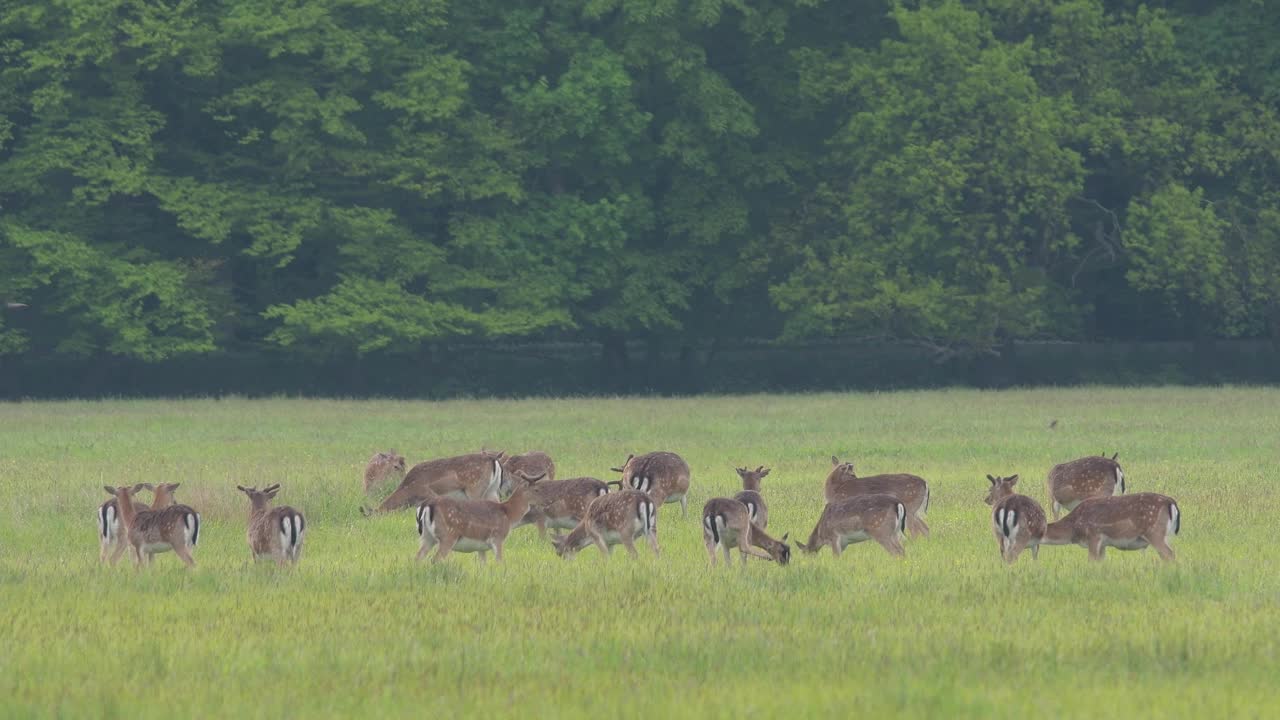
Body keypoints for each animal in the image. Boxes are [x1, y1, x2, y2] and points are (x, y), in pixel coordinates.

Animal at [414, 468, 545, 563]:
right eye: (537, 490)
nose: (546, 502)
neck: (509, 515)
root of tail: (426, 505)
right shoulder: (497, 537)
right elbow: (500, 562)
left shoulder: (481, 548)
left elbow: (483, 565)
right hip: (448, 535)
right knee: (435, 559)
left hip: (427, 536)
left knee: (418, 557)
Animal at [1039, 486, 1177, 561]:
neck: (1073, 529)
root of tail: (1171, 502)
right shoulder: (1103, 544)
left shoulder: (1094, 536)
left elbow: (1091, 561)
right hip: (1164, 535)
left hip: (1154, 532)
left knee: (1169, 554)